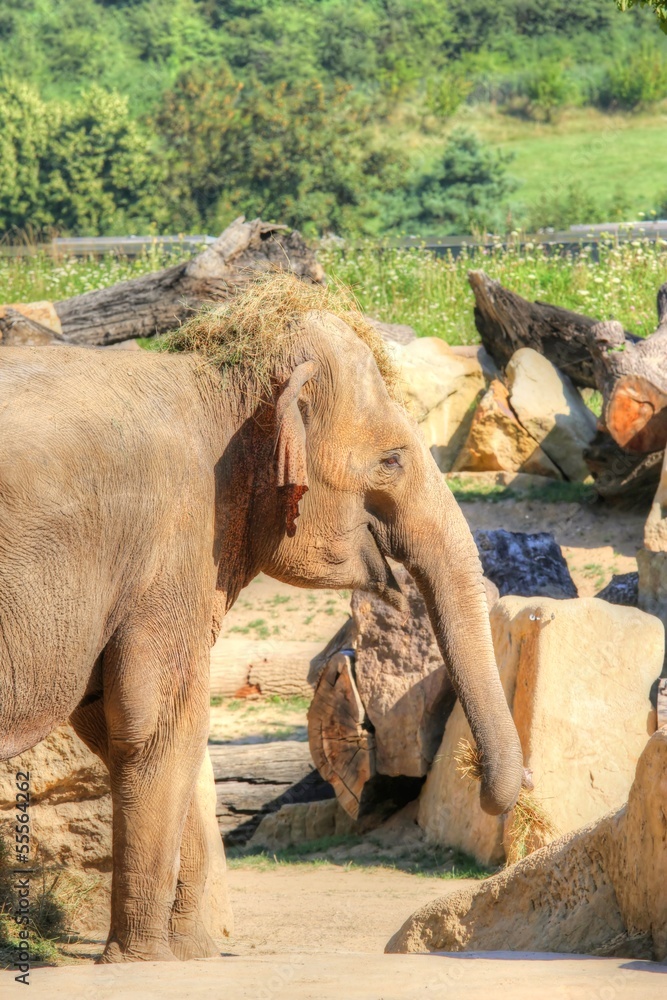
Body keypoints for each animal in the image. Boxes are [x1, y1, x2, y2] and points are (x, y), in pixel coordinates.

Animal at [0, 276, 523, 962]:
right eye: (391, 461)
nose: (487, 788)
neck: (212, 379)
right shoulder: (173, 542)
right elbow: (159, 721)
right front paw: (145, 961)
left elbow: (113, 722)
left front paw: (192, 955)